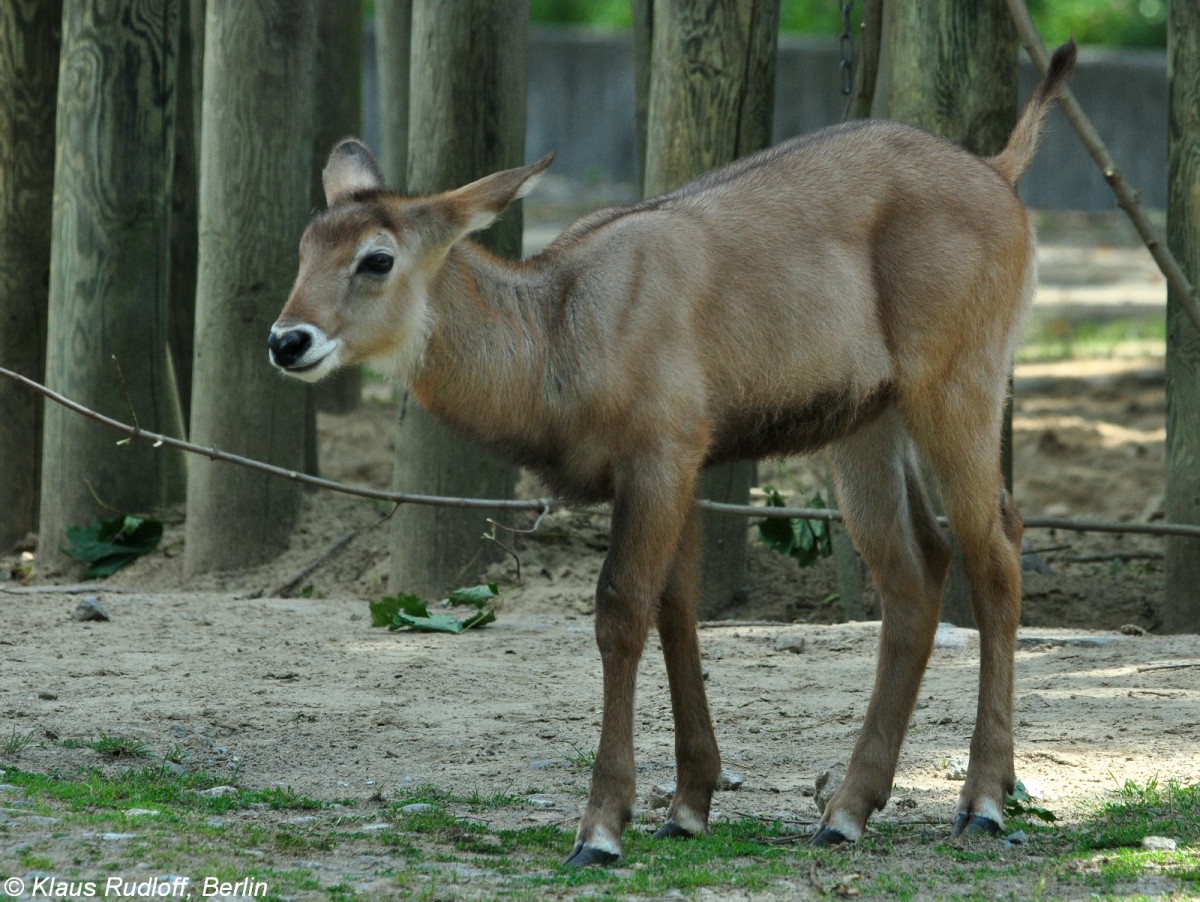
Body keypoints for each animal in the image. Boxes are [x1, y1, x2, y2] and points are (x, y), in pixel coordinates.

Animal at [270, 44, 1080, 868]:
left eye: (376, 259)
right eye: (305, 249)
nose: (287, 340)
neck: (561, 324)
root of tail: (999, 173)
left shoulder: (661, 454)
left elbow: (622, 610)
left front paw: (601, 825)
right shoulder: (686, 465)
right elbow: (677, 609)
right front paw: (688, 805)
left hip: (958, 389)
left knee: (995, 549)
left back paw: (982, 802)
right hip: (866, 428)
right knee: (916, 571)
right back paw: (847, 809)